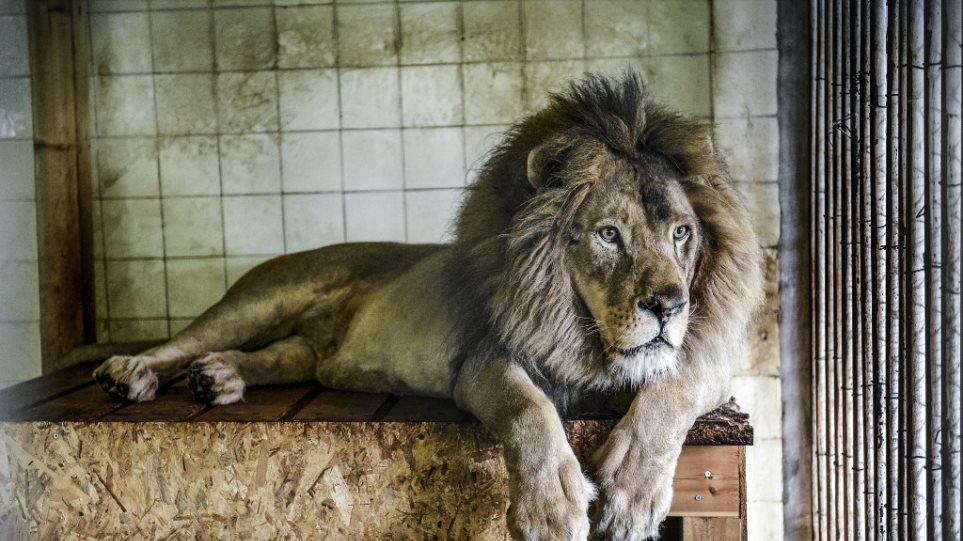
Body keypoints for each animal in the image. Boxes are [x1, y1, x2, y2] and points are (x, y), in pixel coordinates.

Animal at [94, 73, 764, 540]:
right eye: (608, 235)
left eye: (681, 233)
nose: (670, 306)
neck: (589, 340)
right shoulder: (483, 360)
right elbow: (527, 410)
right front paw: (551, 508)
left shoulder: (707, 365)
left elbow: (672, 389)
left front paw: (630, 494)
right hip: (260, 299)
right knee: (184, 340)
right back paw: (131, 373)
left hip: (304, 352)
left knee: (273, 357)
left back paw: (221, 378)